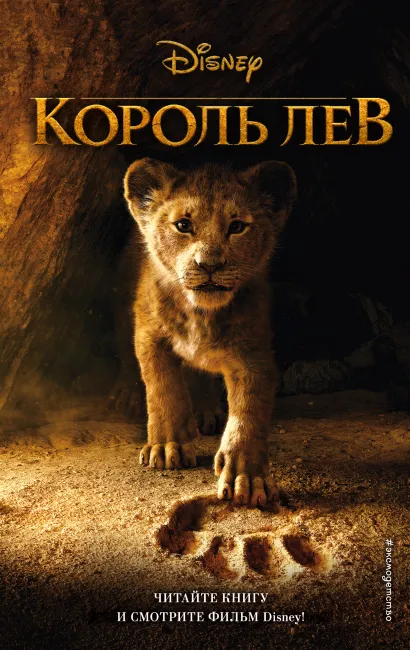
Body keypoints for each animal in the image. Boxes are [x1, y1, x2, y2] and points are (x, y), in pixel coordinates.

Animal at [123, 158, 296, 506]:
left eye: (237, 226)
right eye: (183, 225)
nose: (209, 265)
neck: (201, 313)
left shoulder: (254, 354)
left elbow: (249, 412)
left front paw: (248, 477)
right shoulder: (149, 334)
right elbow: (163, 388)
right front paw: (167, 446)